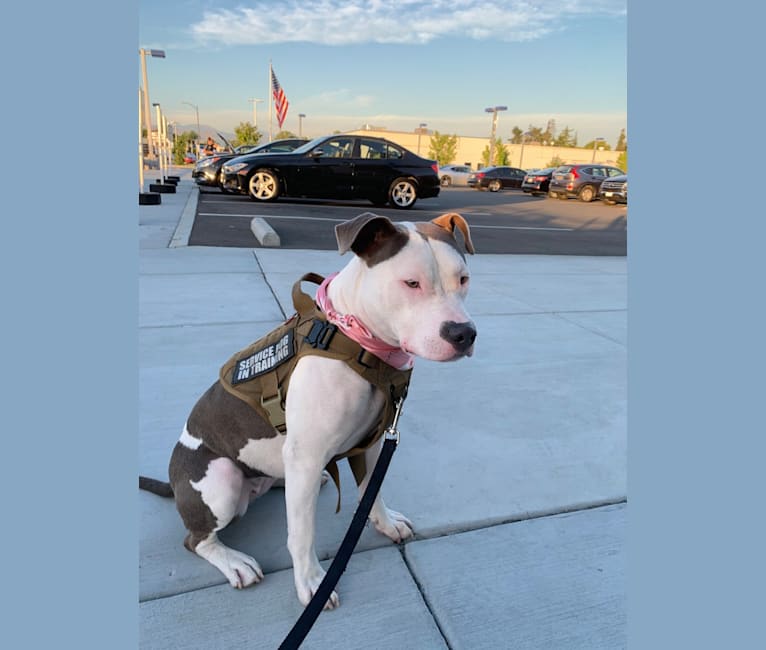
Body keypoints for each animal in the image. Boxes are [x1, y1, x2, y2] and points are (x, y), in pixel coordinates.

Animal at [138, 211, 474, 608]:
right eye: (411, 283)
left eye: (463, 279)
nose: (463, 333)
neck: (359, 342)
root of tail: (175, 483)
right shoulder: (308, 455)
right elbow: (301, 532)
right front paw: (312, 582)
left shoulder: (371, 442)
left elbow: (371, 491)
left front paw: (386, 523)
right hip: (220, 480)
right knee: (197, 539)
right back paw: (234, 561)